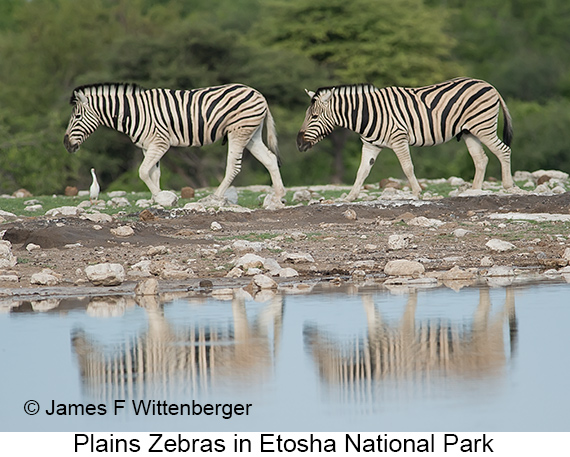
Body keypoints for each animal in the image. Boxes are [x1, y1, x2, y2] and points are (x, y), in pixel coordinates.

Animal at [63, 81, 284, 201]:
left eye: (77, 117)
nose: (66, 144)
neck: (134, 113)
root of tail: (259, 94)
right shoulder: (148, 146)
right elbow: (153, 173)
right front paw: (158, 199)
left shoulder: (160, 143)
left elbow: (142, 171)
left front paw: (160, 198)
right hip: (252, 134)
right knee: (270, 159)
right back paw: (279, 195)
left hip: (239, 132)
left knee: (234, 166)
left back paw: (215, 196)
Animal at [296, 76, 512, 200]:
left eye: (314, 117)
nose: (299, 143)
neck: (368, 114)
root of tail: (489, 85)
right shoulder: (371, 146)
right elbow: (361, 172)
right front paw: (350, 197)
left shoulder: (398, 139)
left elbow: (407, 167)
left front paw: (417, 193)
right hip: (469, 132)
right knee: (481, 159)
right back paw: (474, 191)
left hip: (483, 127)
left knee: (504, 150)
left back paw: (508, 186)